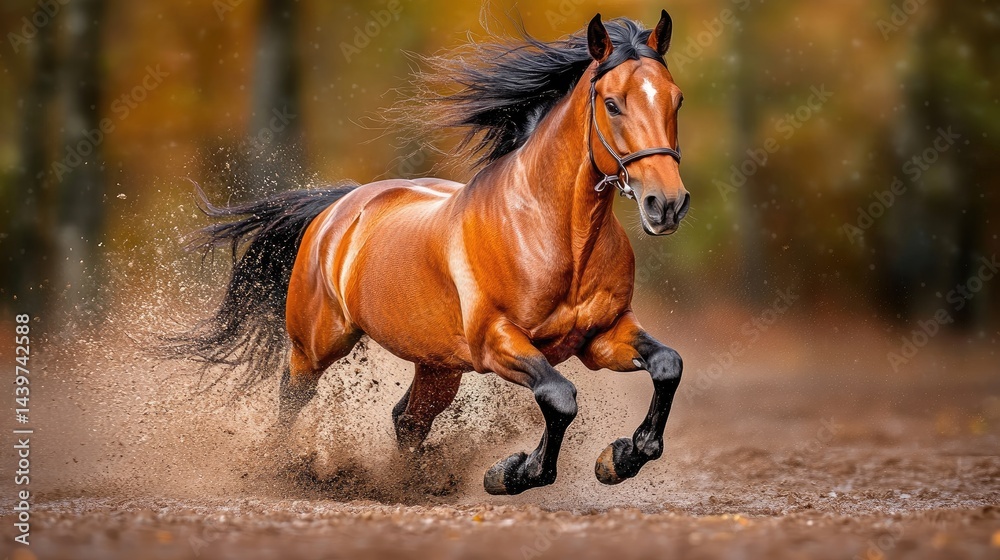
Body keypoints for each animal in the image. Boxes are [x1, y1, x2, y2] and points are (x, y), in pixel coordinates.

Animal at [177, 11, 689, 495]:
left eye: (676, 98)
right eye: (612, 104)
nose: (666, 204)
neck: (559, 235)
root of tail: (337, 208)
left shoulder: (601, 335)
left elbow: (666, 365)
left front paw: (624, 456)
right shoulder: (497, 341)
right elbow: (559, 396)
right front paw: (512, 473)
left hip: (438, 365)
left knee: (409, 418)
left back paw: (411, 484)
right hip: (318, 344)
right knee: (293, 394)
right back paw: (282, 469)